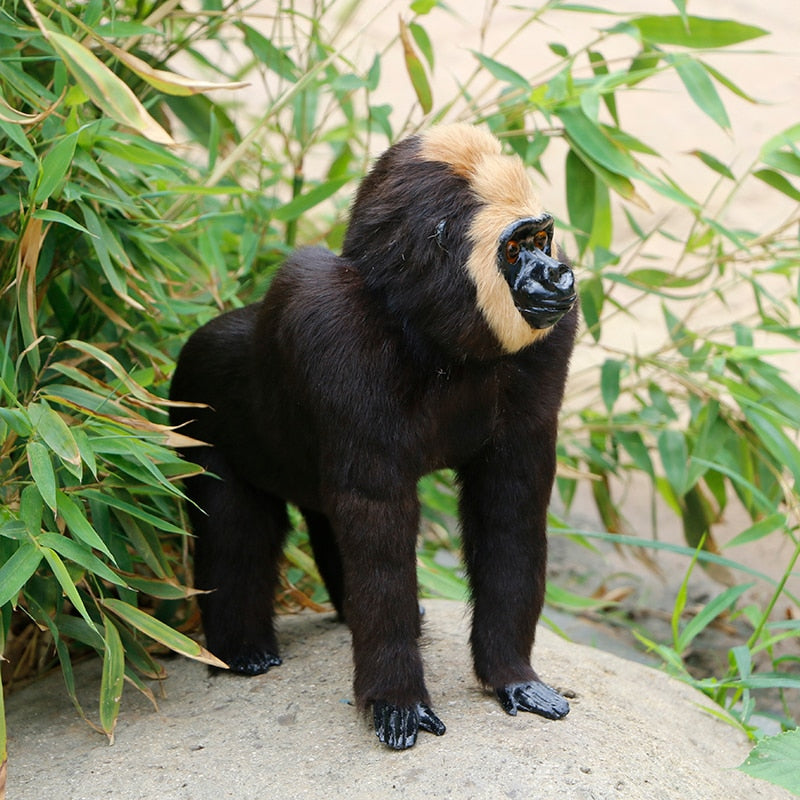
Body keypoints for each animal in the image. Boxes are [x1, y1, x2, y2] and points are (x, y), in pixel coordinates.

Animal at [169, 123, 578, 750]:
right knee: (237, 535)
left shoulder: (550, 344)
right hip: (191, 412)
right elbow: (378, 535)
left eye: (543, 239)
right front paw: (397, 700)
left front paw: (512, 676)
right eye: (514, 250)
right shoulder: (331, 323)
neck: (430, 334)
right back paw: (242, 651)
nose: (558, 273)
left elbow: (508, 520)